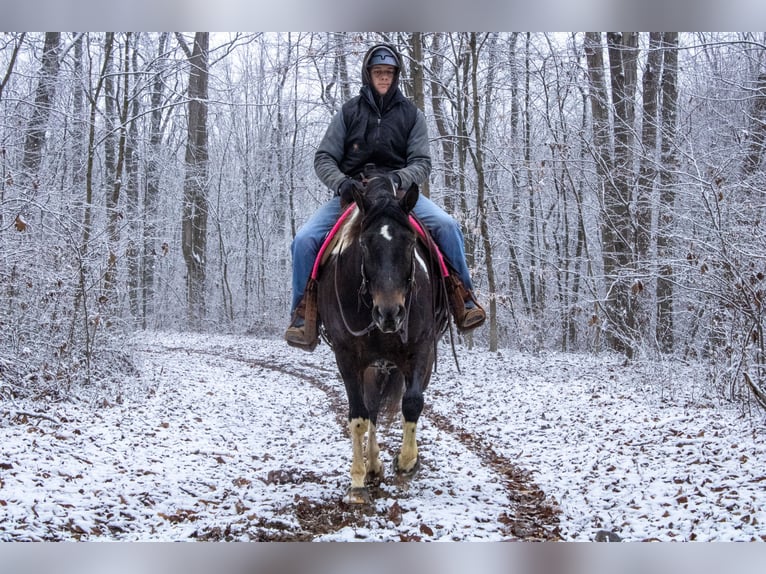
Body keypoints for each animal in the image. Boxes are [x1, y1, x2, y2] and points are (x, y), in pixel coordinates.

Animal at [316, 174, 450, 504]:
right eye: (365, 243)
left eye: (410, 242)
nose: (390, 313)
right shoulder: (347, 356)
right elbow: (358, 415)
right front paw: (357, 481)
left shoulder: (421, 349)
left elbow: (412, 403)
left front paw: (406, 463)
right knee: (371, 408)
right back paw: (372, 466)